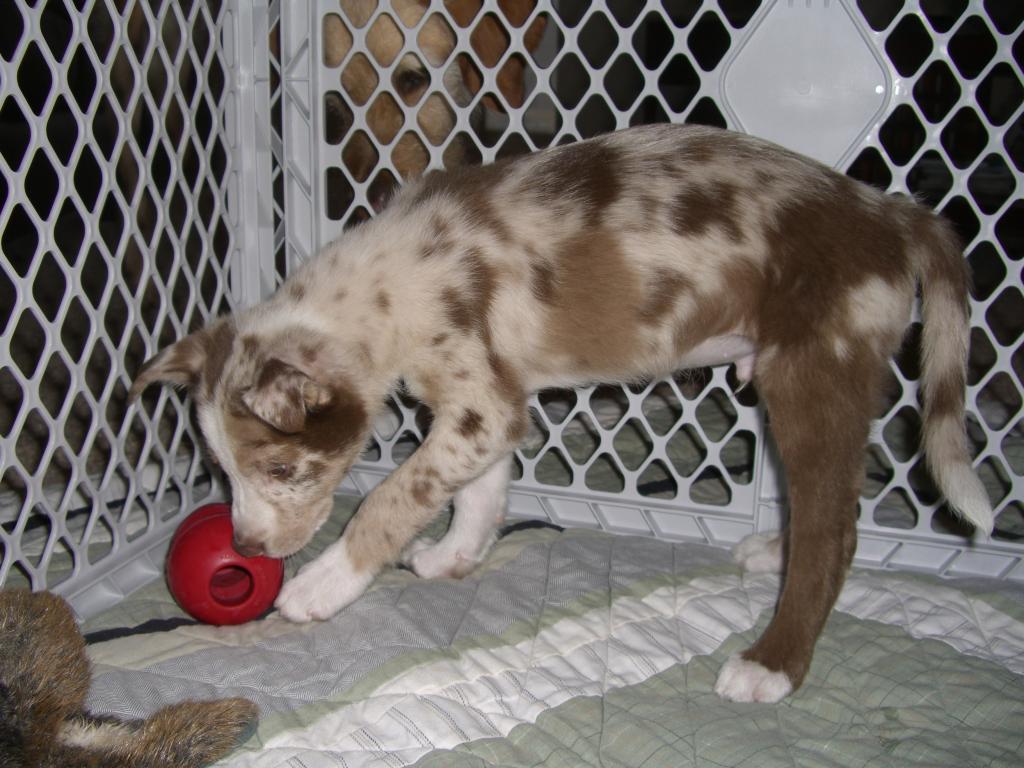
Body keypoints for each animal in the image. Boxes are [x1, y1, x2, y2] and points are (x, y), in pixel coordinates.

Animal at [130, 124, 991, 704]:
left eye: (280, 467)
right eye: (220, 470)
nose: (244, 547)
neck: (378, 289)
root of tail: (890, 211)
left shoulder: (477, 406)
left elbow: (393, 496)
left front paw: (324, 585)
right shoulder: (490, 406)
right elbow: (478, 493)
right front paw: (457, 555)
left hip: (815, 371)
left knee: (834, 532)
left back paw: (771, 664)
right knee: (821, 510)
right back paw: (770, 554)